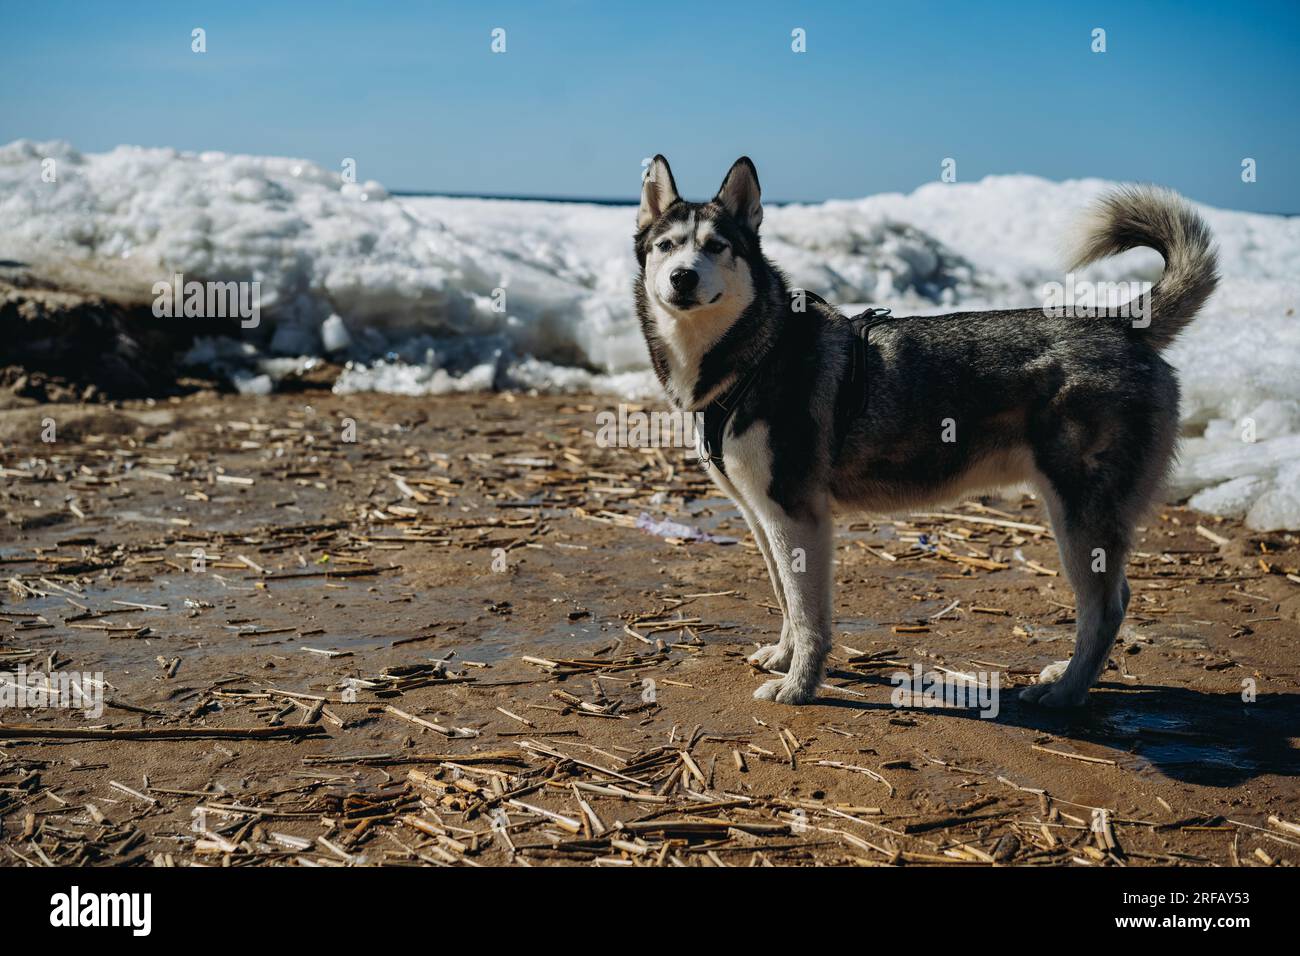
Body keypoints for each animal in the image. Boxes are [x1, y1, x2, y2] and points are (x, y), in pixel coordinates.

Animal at [634, 157, 1211, 707]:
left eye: (716, 247)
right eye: (666, 246)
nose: (682, 277)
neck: (757, 352)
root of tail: (1119, 323)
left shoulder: (796, 515)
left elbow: (808, 613)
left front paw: (800, 685)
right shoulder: (761, 516)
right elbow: (786, 601)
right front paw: (782, 657)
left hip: (1079, 518)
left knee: (1106, 608)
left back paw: (1067, 692)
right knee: (1115, 600)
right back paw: (1063, 676)